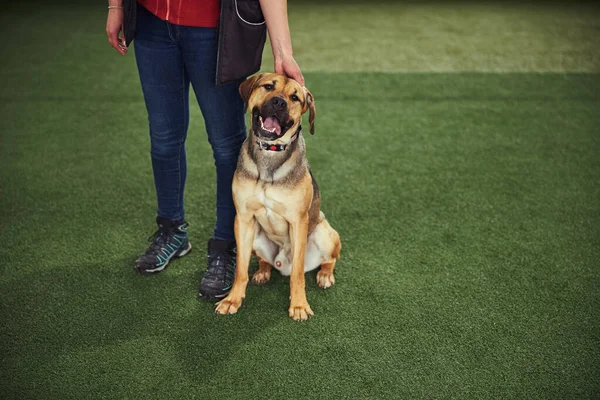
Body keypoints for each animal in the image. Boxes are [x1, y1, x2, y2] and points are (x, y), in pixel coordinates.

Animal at [213, 72, 340, 322]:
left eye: (295, 97)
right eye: (268, 87)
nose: (279, 102)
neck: (269, 155)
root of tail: (281, 263)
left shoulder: (298, 221)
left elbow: (298, 274)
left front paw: (299, 305)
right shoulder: (243, 218)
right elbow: (240, 270)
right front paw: (232, 299)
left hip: (326, 234)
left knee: (329, 259)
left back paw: (324, 275)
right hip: (255, 237)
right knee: (263, 262)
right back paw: (262, 272)